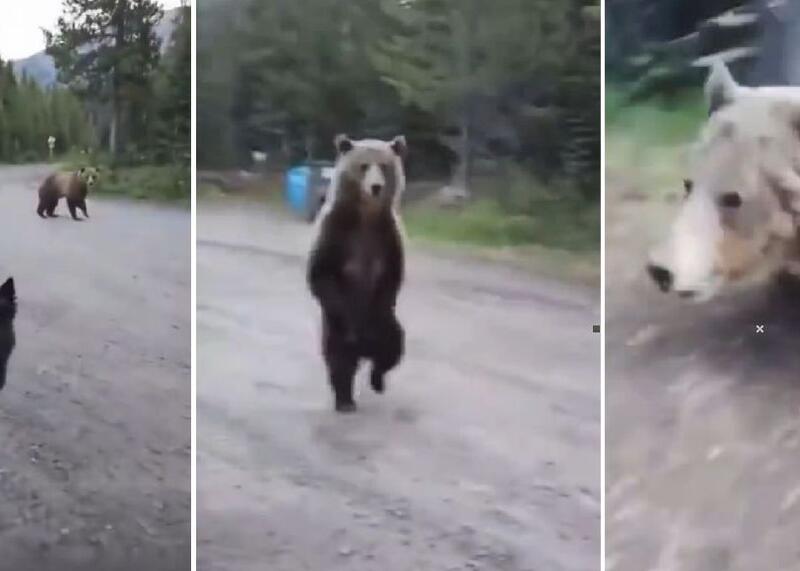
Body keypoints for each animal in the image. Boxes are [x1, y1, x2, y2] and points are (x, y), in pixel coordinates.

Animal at [307, 134, 408, 412]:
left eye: (383, 166)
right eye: (363, 166)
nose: (376, 187)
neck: (365, 217)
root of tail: (365, 351)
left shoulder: (388, 236)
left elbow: (391, 278)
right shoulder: (335, 231)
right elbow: (321, 273)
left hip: (388, 328)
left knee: (392, 346)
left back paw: (378, 380)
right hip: (333, 330)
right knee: (339, 360)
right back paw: (345, 399)